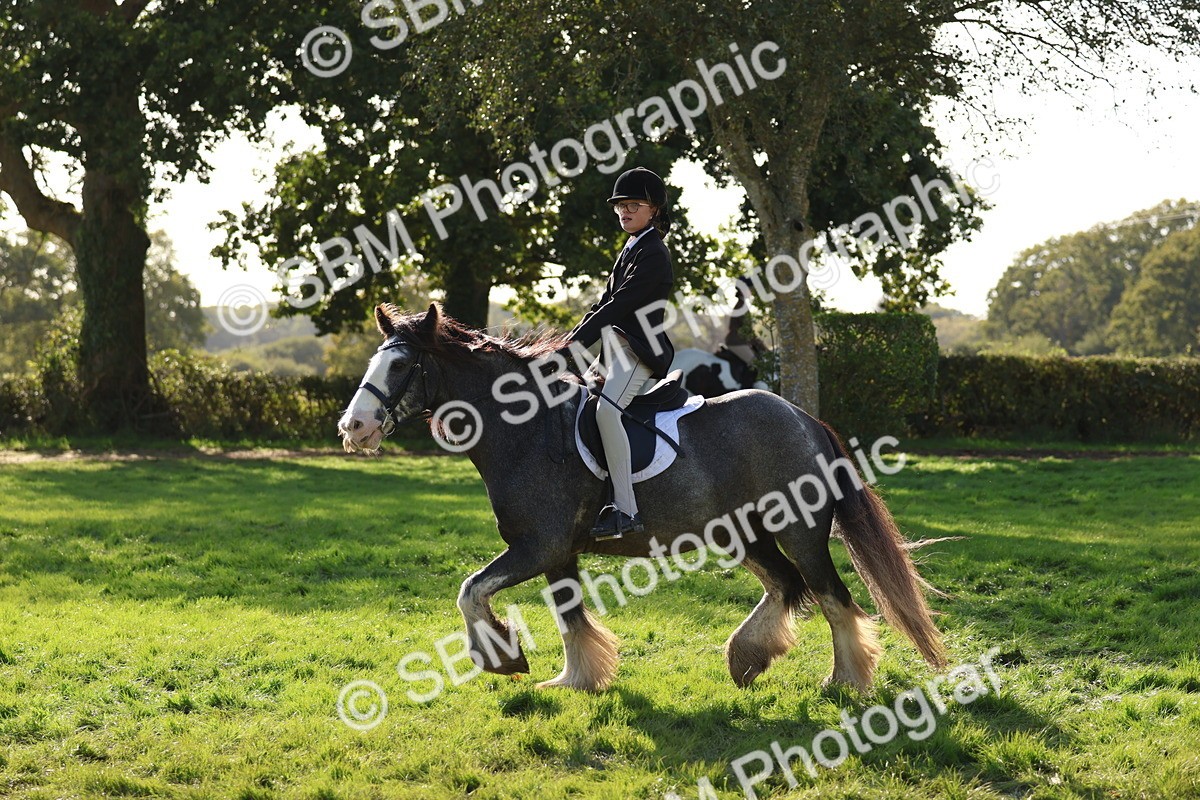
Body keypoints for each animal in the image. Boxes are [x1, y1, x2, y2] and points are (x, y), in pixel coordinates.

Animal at [337, 303, 947, 693]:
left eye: (401, 365)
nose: (354, 428)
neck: (526, 429)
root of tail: (805, 420)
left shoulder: (537, 547)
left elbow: (470, 592)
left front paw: (504, 659)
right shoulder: (557, 553)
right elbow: (569, 617)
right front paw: (577, 680)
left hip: (800, 531)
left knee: (832, 597)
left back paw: (844, 681)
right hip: (743, 533)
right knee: (786, 586)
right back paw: (747, 658)